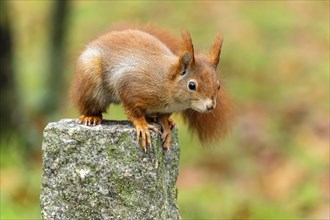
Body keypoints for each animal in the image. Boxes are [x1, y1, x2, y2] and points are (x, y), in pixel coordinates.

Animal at [71, 24, 235, 151]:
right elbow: (133, 111)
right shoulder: (131, 85)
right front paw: (142, 125)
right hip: (90, 80)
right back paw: (91, 116)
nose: (210, 106)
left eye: (218, 85)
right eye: (192, 85)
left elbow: (163, 117)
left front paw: (166, 126)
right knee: (90, 104)